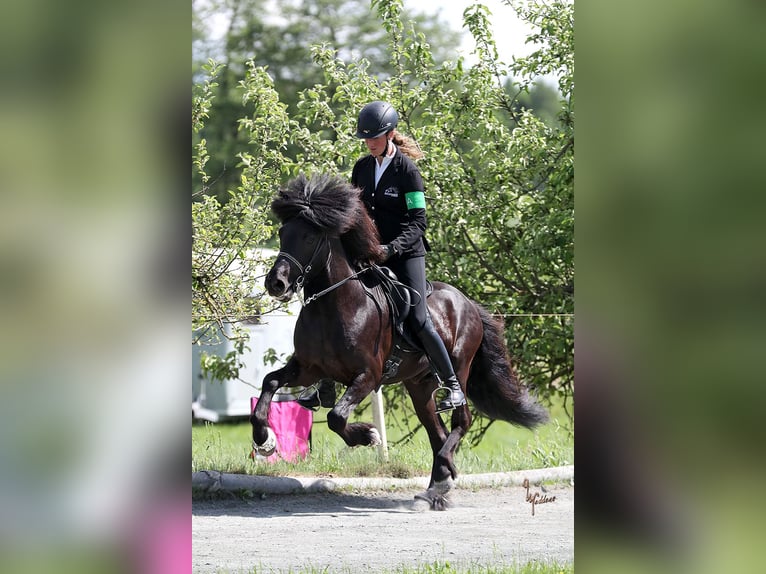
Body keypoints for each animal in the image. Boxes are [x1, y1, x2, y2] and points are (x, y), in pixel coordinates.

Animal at [250, 173, 544, 510]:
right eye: (283, 233)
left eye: (310, 237)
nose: (276, 283)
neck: (335, 305)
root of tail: (468, 302)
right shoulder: (308, 368)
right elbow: (270, 383)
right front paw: (265, 441)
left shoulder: (368, 376)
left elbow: (337, 417)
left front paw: (367, 436)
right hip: (419, 386)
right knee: (438, 434)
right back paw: (435, 489)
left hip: (459, 367)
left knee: (462, 420)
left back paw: (445, 471)